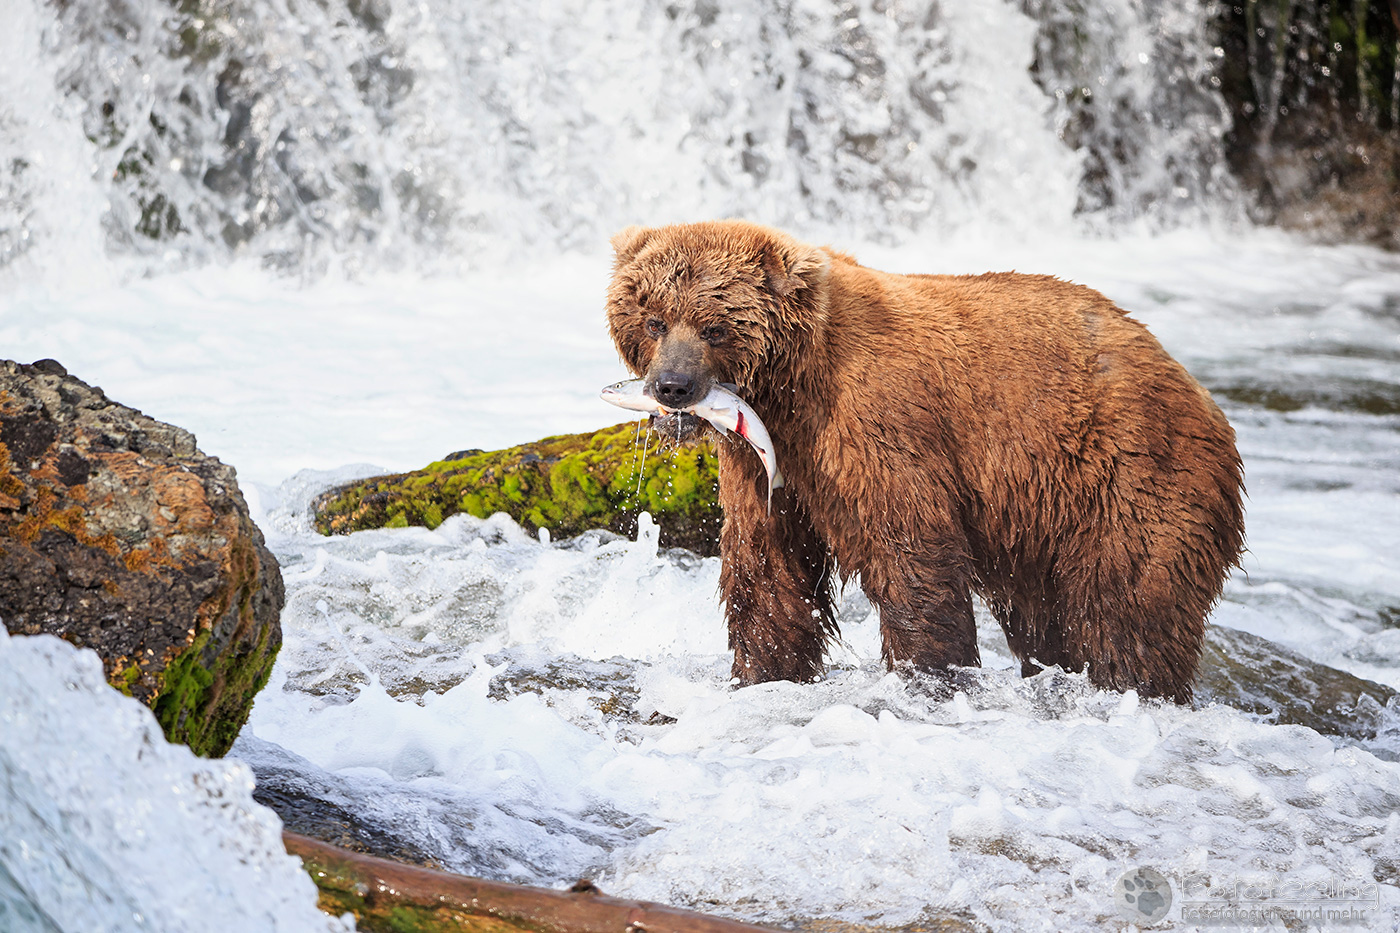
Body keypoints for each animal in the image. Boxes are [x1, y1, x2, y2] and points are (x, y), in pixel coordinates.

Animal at [605, 220, 1245, 703]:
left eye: (714, 326)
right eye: (655, 318)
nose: (672, 387)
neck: (790, 387)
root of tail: (1197, 389)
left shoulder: (874, 421)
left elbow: (909, 546)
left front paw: (929, 672)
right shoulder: (763, 460)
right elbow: (766, 566)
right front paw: (763, 674)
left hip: (1127, 473)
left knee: (1127, 605)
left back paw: (1131, 683)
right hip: (1042, 522)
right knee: (1047, 617)